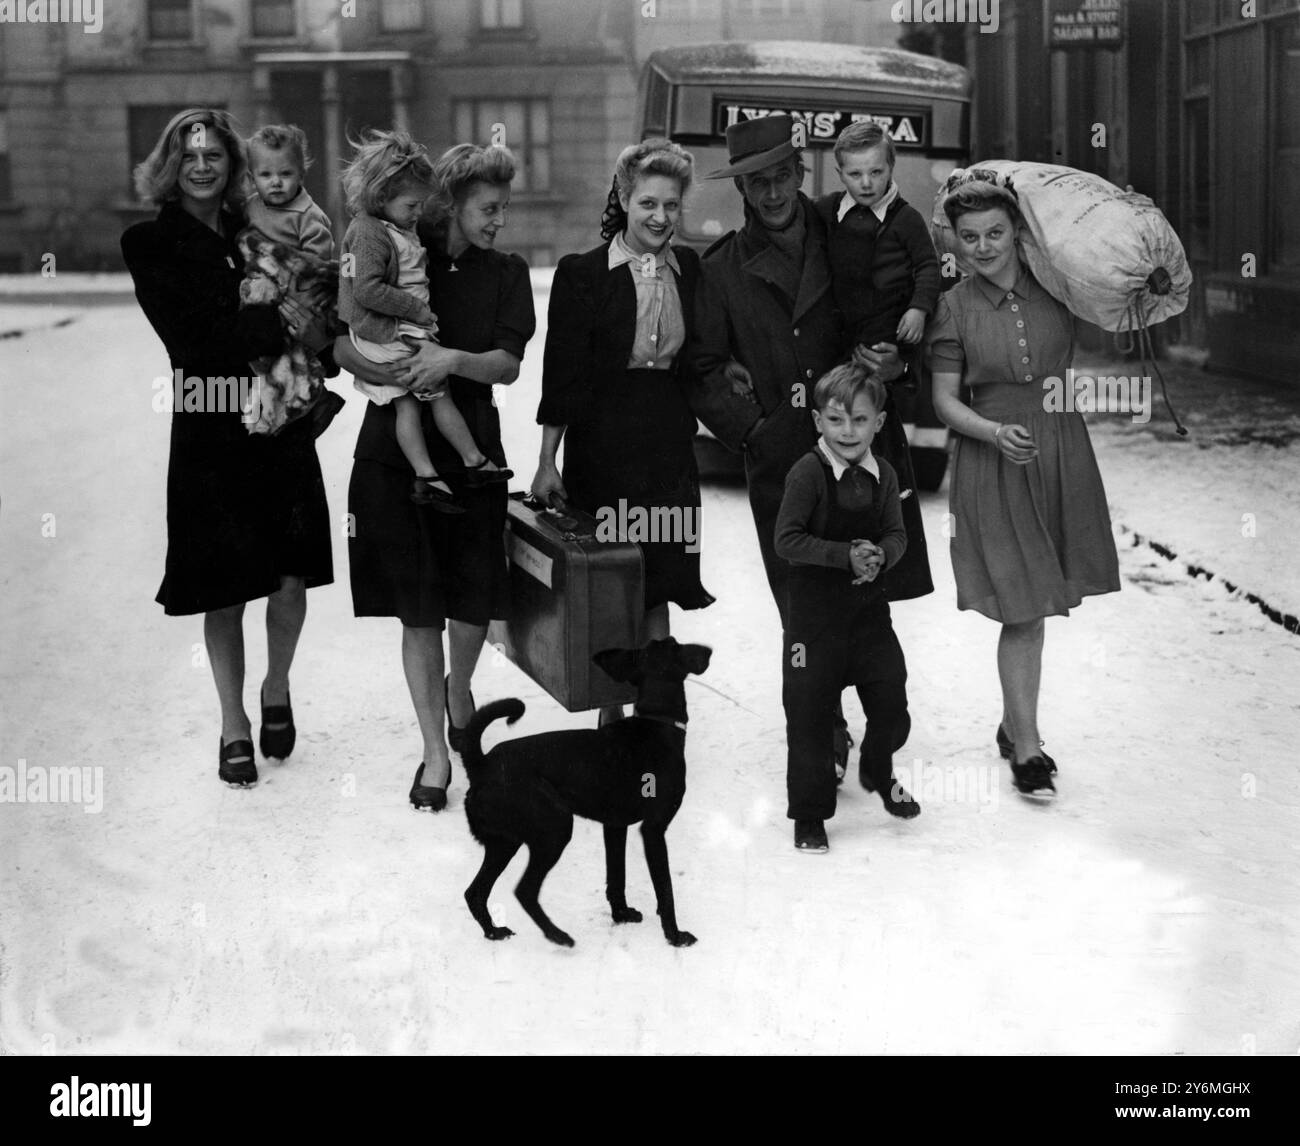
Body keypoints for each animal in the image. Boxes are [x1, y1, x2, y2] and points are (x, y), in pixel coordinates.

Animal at [462, 634, 717, 945]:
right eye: (676, 644)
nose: (708, 651)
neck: (656, 723)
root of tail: (481, 764)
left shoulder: (615, 825)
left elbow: (616, 875)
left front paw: (621, 914)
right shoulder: (654, 829)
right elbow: (665, 890)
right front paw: (675, 935)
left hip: (504, 842)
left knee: (475, 892)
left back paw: (494, 931)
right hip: (554, 828)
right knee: (525, 890)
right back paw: (558, 935)